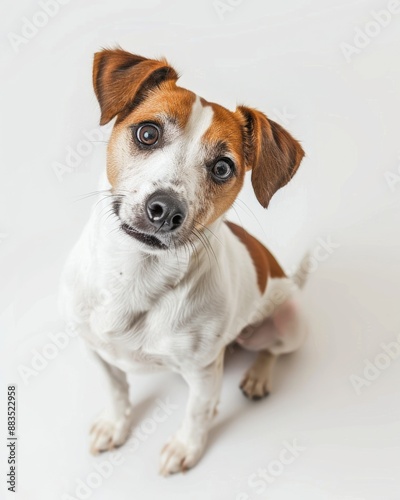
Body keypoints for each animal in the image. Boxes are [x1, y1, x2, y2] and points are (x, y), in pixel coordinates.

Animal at [60, 47, 306, 476]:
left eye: (223, 167)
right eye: (147, 133)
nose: (165, 209)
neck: (135, 276)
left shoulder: (203, 372)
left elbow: (196, 412)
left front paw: (185, 447)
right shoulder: (95, 348)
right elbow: (116, 388)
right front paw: (115, 424)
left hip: (290, 322)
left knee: (272, 350)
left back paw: (258, 375)